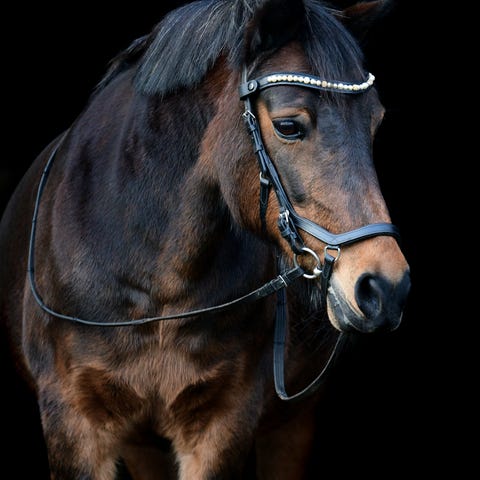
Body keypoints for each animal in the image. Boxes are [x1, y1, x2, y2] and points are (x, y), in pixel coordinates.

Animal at [0, 0, 411, 478]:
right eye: (289, 126)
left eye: (375, 124)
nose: (386, 287)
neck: (152, 285)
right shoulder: (73, 423)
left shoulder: (222, 426)